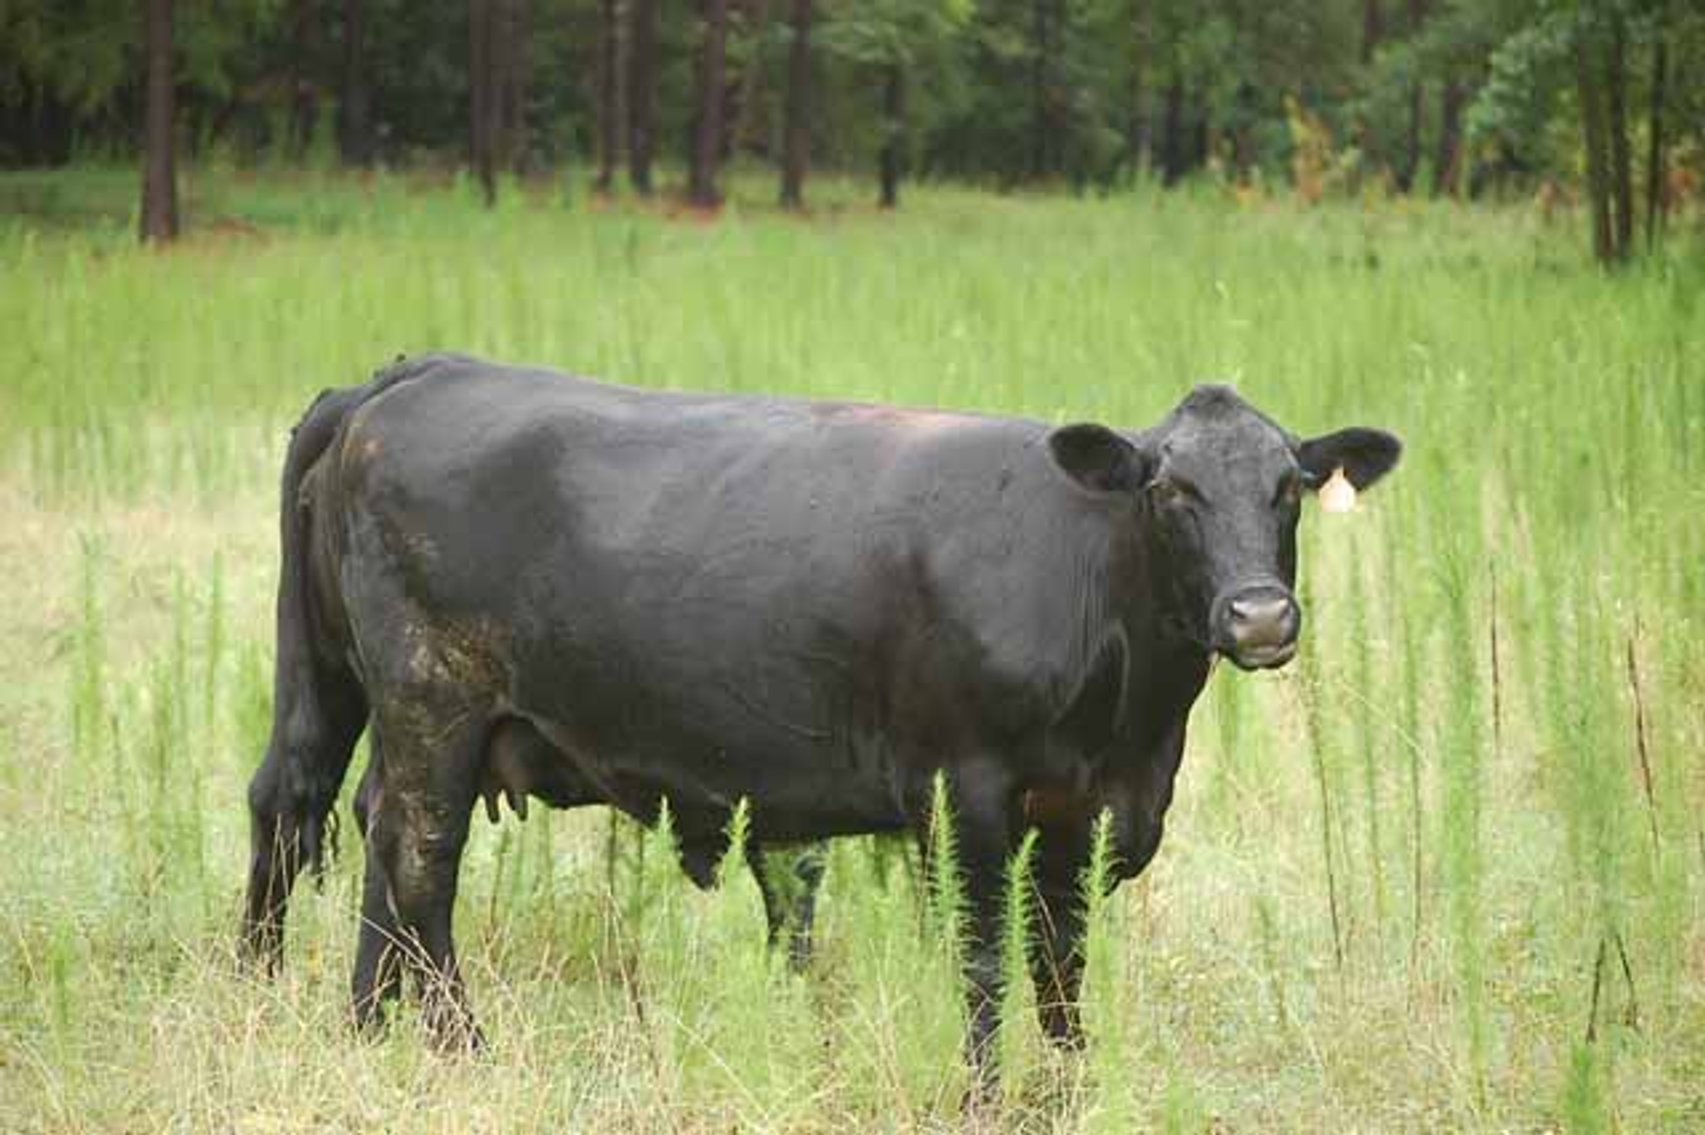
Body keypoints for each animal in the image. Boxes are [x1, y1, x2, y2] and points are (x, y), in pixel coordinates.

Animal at [240, 353, 1400, 1086]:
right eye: (1167, 489)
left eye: (1289, 486)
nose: (1259, 616)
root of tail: (414, 376)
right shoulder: (964, 793)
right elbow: (985, 958)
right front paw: (984, 1093)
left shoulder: (1082, 810)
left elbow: (1061, 965)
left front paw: (1074, 1086)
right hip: (434, 693)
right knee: (417, 852)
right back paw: (458, 1045)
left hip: (354, 692)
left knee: (323, 808)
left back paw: (360, 1021)